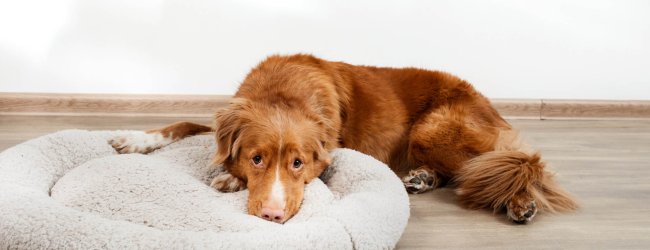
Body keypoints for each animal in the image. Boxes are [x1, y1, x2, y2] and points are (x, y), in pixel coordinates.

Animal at [109, 53, 576, 224]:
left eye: (298, 163)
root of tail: (490, 105)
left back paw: (520, 202)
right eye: (257, 158)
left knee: (516, 166)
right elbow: (185, 124)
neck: (284, 89)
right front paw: (135, 139)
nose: (273, 215)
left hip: (433, 130)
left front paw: (226, 178)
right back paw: (421, 178)